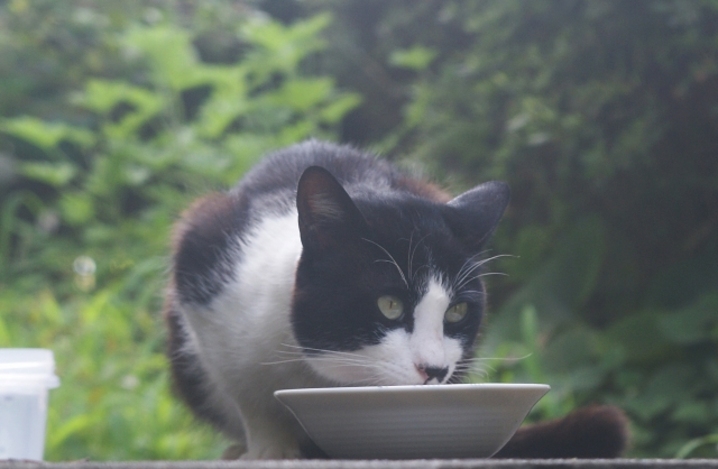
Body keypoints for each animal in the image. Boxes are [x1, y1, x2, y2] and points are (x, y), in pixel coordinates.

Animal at [165, 139, 632, 458]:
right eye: (389, 305)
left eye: (457, 311)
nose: (436, 370)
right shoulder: (205, 265)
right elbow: (248, 395)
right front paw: (271, 450)